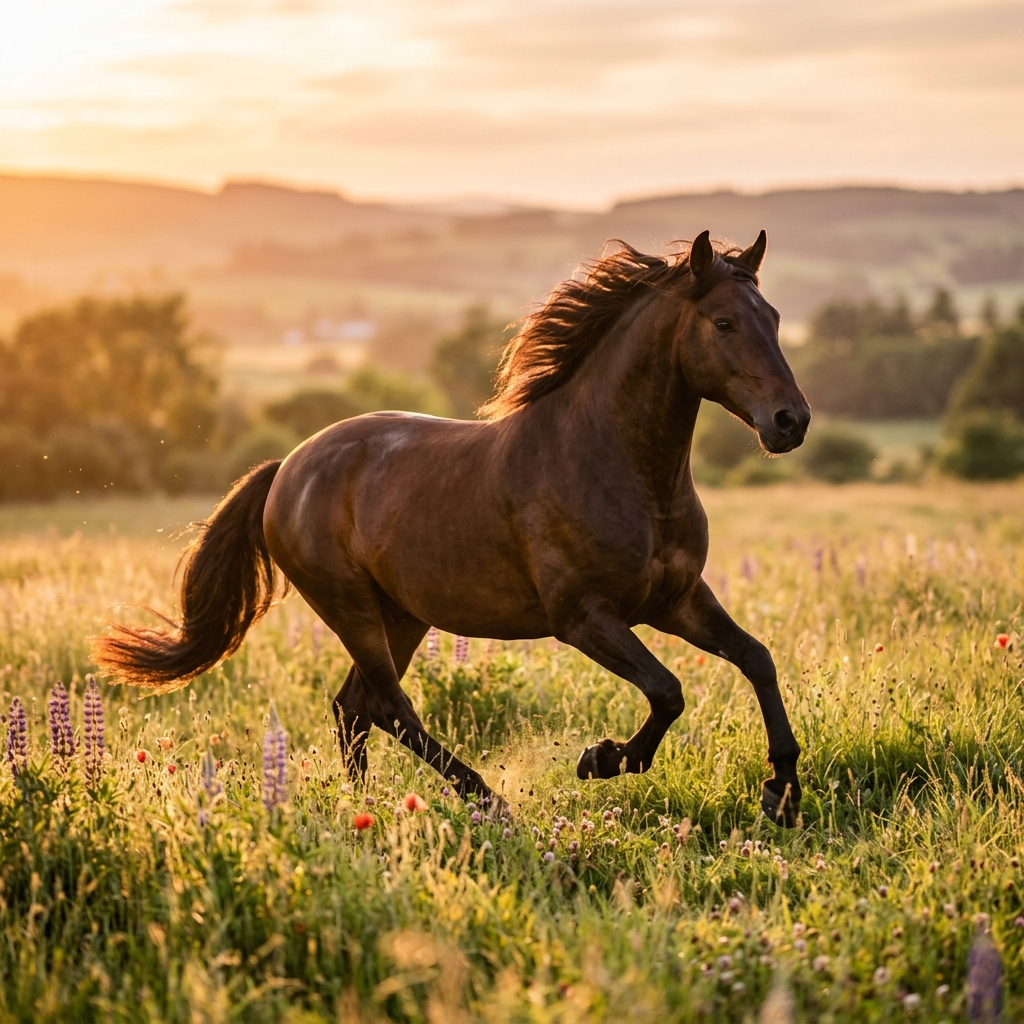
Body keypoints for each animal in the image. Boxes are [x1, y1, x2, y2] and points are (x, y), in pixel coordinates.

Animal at [93, 229, 811, 826]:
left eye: (775, 319)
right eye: (723, 322)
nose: (790, 420)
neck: (617, 463)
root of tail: (286, 469)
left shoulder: (676, 600)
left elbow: (756, 658)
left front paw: (780, 789)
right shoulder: (583, 616)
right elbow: (668, 689)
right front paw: (602, 758)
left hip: (402, 614)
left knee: (354, 708)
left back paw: (364, 808)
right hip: (351, 607)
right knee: (388, 706)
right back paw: (485, 799)